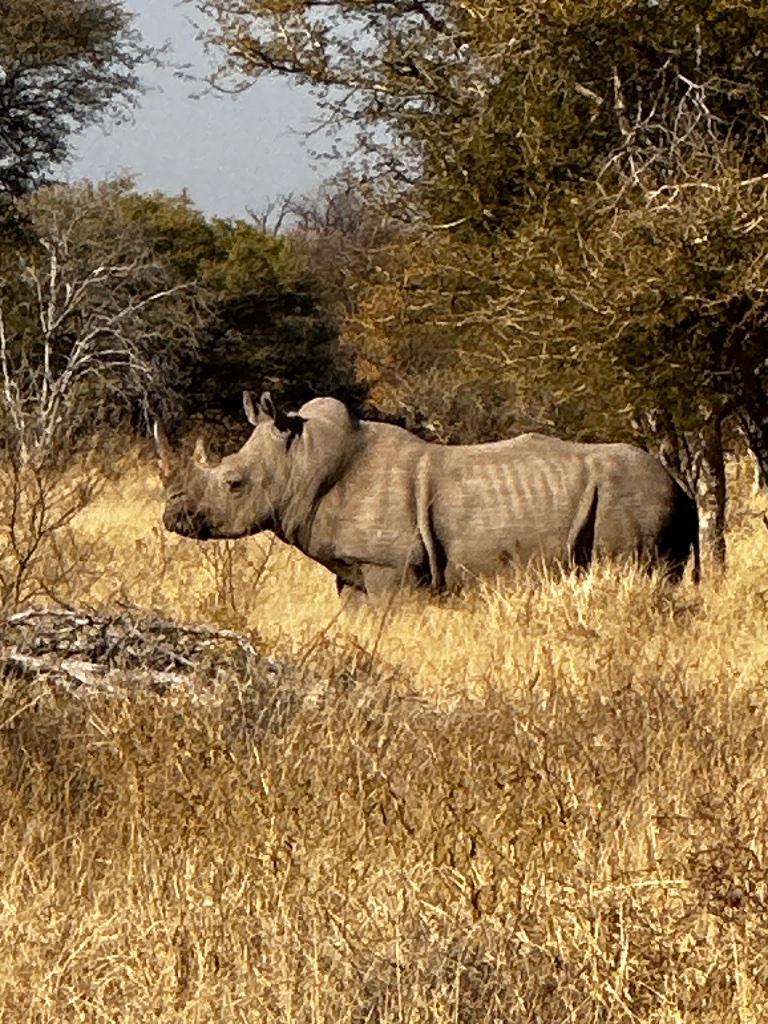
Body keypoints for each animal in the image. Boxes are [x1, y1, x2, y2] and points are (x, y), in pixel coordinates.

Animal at [154, 392, 700, 596]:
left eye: (234, 484)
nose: (171, 517)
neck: (301, 462)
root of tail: (682, 485)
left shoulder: (390, 567)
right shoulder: (353, 571)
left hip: (632, 502)